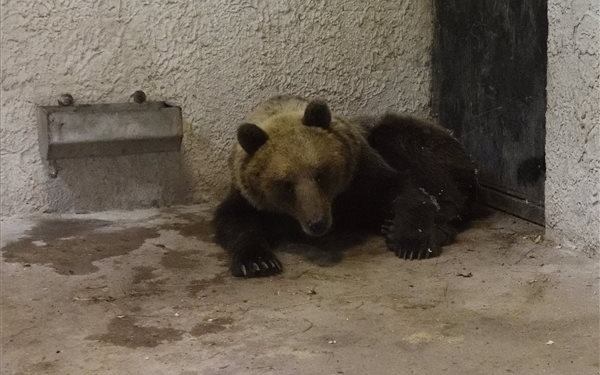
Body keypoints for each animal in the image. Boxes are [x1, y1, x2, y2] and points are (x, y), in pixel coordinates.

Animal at [213, 96, 476, 280]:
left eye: (320, 174)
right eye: (286, 184)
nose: (317, 223)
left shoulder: (360, 175)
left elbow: (403, 190)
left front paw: (410, 240)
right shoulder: (249, 197)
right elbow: (234, 222)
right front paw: (257, 262)